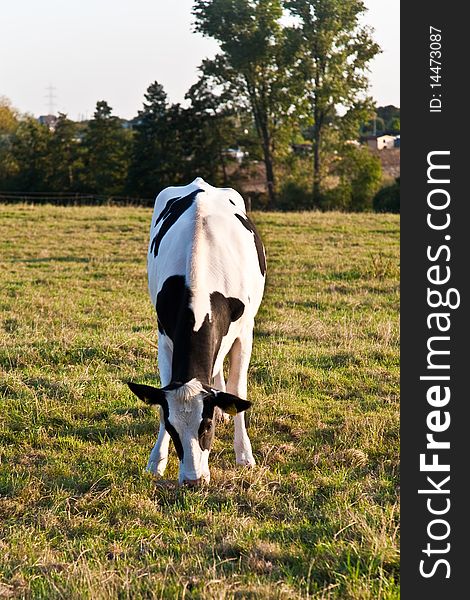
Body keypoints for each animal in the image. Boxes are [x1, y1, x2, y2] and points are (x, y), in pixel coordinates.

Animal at [126, 176, 266, 486]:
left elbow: (238, 388)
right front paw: (157, 460)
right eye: (171, 427)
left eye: (207, 425)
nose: (192, 480)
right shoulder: (164, 336)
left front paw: (244, 455)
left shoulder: (245, 332)